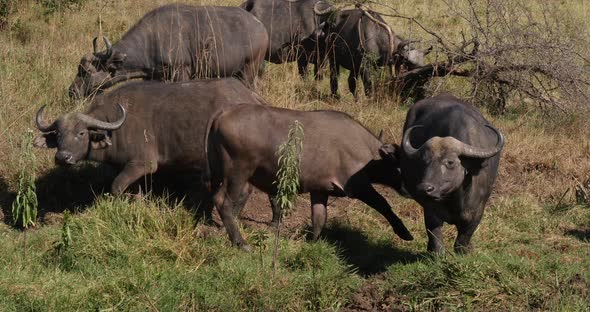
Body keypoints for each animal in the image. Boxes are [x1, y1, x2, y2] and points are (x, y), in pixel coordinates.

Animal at [35, 78, 268, 197]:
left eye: (81, 133)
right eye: (58, 134)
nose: (62, 157)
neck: (116, 126)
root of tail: (250, 95)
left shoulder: (142, 164)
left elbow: (116, 187)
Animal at [68, 3, 270, 98]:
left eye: (86, 71)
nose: (72, 91)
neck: (151, 41)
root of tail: (260, 27)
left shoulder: (181, 72)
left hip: (249, 71)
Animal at [206, 103, 414, 250]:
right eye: (403, 165)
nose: (410, 189)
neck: (368, 153)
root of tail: (223, 113)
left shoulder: (320, 190)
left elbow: (319, 218)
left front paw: (313, 243)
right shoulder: (358, 187)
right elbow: (383, 204)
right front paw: (404, 233)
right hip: (238, 172)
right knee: (224, 203)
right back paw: (241, 243)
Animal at [402, 94, 504, 252]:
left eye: (450, 162)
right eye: (425, 160)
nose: (425, 188)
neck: (456, 199)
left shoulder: (476, 213)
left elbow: (462, 240)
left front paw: (466, 250)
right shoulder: (430, 210)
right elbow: (436, 239)